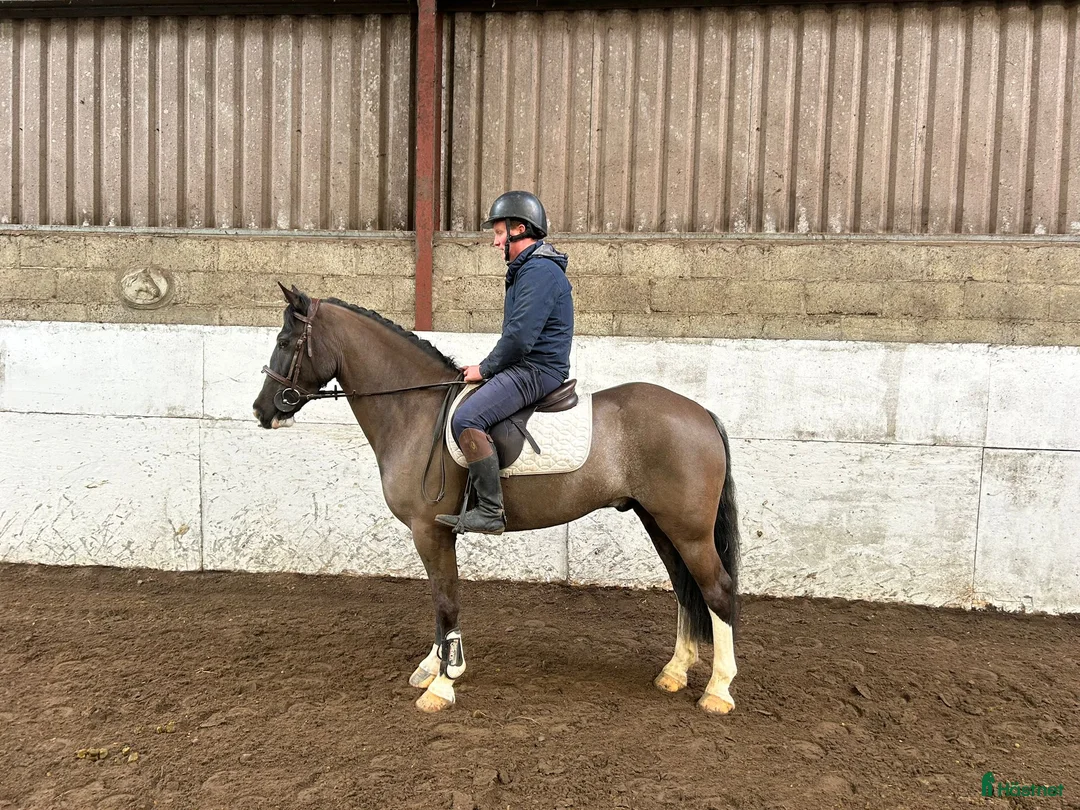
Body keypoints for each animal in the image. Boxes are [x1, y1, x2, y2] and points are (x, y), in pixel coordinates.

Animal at [252, 284, 741, 715]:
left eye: (284, 341)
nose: (262, 410)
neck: (415, 410)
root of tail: (700, 412)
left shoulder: (429, 531)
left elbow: (446, 600)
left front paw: (443, 684)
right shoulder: (434, 534)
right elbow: (439, 600)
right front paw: (432, 666)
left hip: (687, 528)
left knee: (716, 589)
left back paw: (718, 691)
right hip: (658, 521)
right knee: (684, 588)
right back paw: (674, 672)